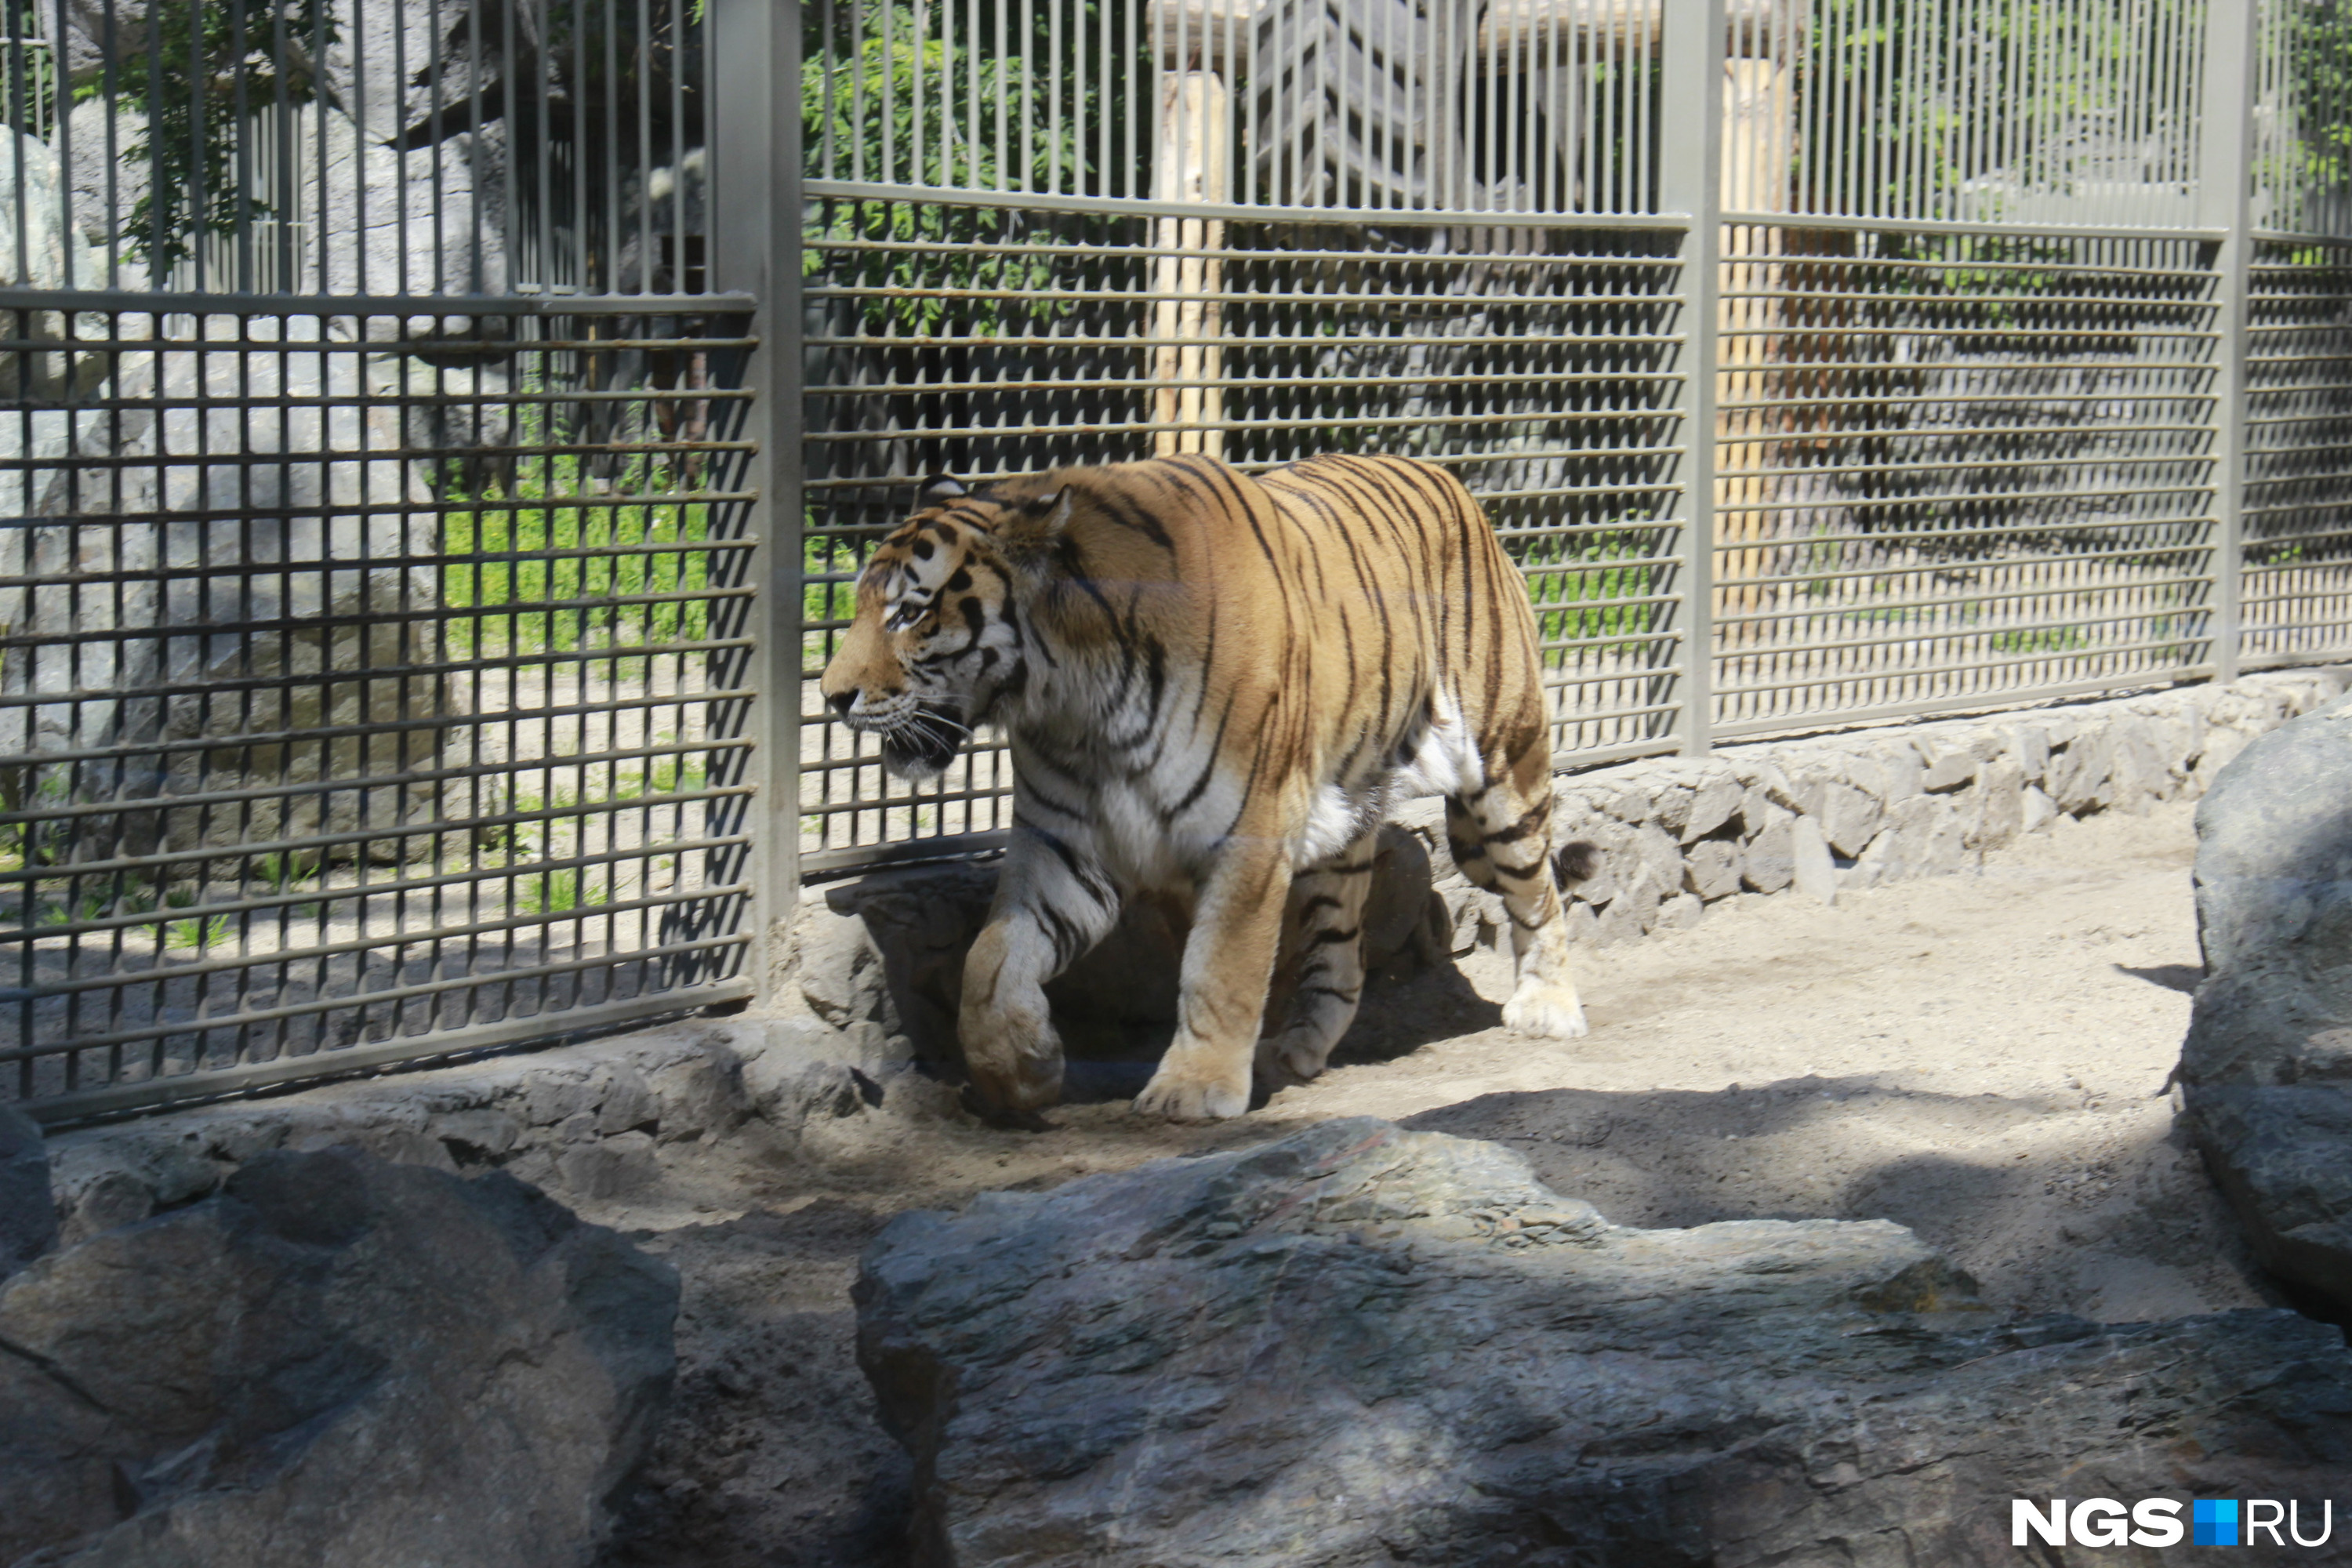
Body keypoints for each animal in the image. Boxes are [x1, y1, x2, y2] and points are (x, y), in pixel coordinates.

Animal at [814, 453, 1599, 1128]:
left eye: (910, 613)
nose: (831, 697)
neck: (1075, 701)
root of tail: (1454, 485)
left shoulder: (1249, 831)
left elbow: (1221, 966)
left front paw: (1192, 1089)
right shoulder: (1063, 846)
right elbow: (990, 959)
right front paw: (1021, 1070)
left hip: (1505, 767)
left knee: (1539, 893)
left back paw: (1549, 1008)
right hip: (1342, 819)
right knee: (1340, 951)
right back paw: (1297, 1050)